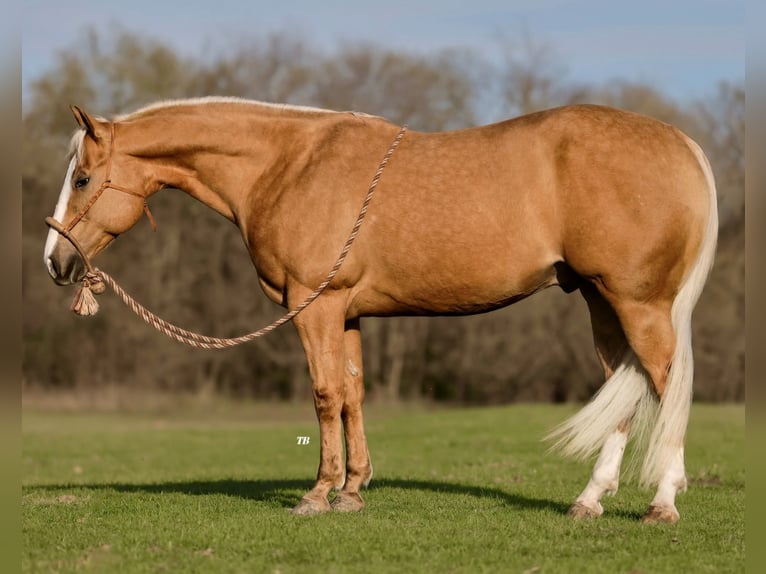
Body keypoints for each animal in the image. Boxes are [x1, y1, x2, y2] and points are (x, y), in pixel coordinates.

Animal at [45, 98, 720, 520]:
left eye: (82, 179)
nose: (56, 262)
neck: (288, 164)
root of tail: (681, 144)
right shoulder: (345, 311)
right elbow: (353, 394)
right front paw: (353, 490)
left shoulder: (313, 306)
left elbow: (324, 396)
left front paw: (318, 495)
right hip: (602, 304)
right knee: (622, 392)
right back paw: (589, 501)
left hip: (639, 305)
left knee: (666, 386)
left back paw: (662, 504)